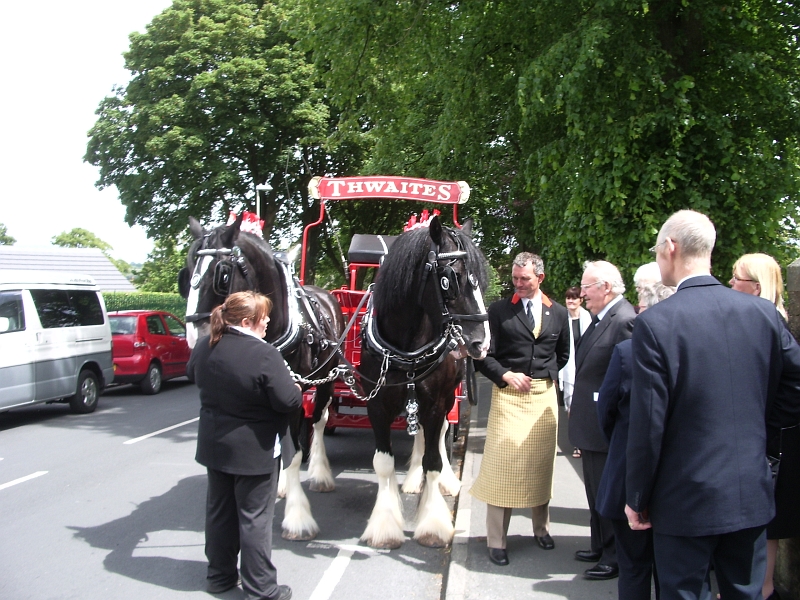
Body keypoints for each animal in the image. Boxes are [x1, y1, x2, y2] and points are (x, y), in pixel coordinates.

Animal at [178, 214, 344, 540]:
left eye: (222, 274)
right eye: (187, 272)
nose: (194, 337)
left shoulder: (296, 394)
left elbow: (295, 452)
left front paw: (297, 517)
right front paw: (281, 488)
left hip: (326, 381)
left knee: (319, 421)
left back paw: (320, 473)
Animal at [360, 216, 490, 548]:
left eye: (482, 282)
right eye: (451, 279)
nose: (482, 343)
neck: (405, 347)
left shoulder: (436, 405)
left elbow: (433, 460)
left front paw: (432, 524)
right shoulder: (376, 406)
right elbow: (383, 463)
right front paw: (384, 526)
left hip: (446, 400)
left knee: (437, 437)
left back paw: (443, 482)